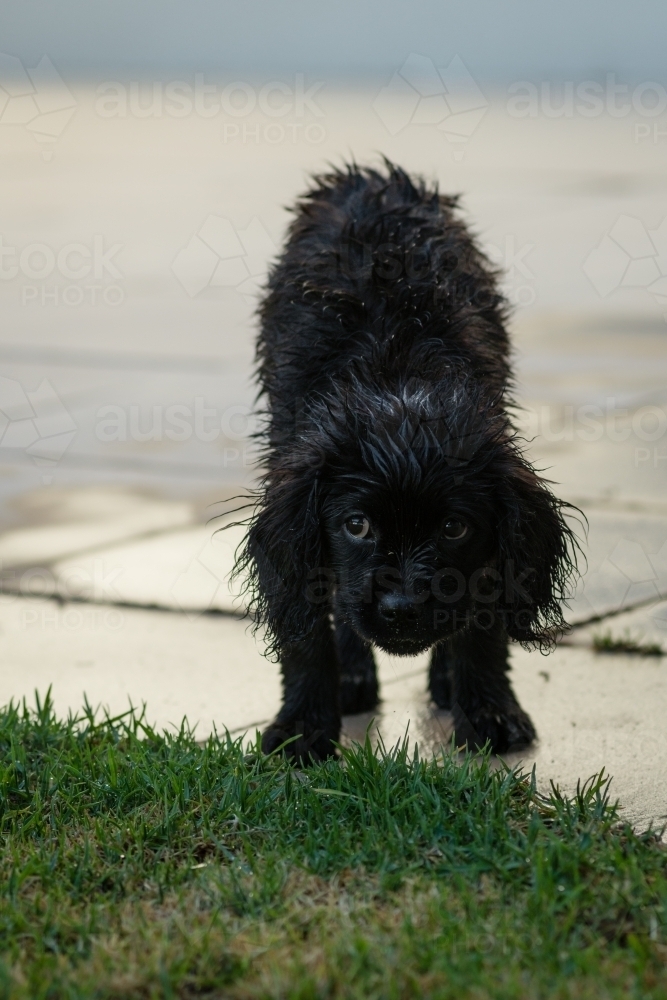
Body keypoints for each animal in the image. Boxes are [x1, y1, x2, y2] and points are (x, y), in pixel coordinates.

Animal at [236, 162, 580, 756]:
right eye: (356, 525)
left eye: (453, 527)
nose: (400, 609)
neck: (396, 380)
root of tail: (371, 177)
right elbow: (306, 625)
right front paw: (303, 726)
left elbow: (484, 622)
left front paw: (488, 713)